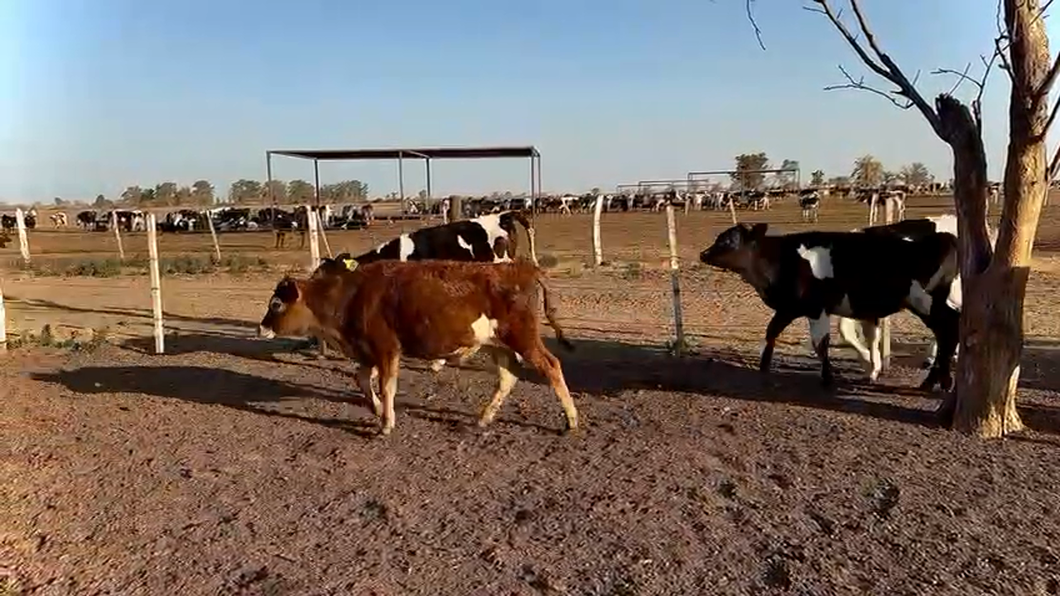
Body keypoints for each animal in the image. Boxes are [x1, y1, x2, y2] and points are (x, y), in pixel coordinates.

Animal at [260, 257, 585, 434]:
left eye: (276, 304)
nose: (261, 327)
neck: (352, 296)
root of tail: (523, 269)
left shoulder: (386, 348)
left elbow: (387, 386)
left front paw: (386, 422)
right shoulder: (369, 351)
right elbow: (362, 378)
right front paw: (376, 409)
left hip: (522, 337)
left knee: (551, 366)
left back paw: (571, 420)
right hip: (497, 343)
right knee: (508, 376)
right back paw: (484, 417)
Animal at [699, 220, 966, 388]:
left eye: (729, 240)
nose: (703, 254)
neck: (785, 258)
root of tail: (945, 237)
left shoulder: (817, 309)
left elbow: (821, 345)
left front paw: (828, 378)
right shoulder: (789, 308)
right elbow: (771, 332)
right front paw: (764, 366)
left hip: (927, 301)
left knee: (949, 330)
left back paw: (940, 381)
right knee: (947, 333)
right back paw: (933, 381)